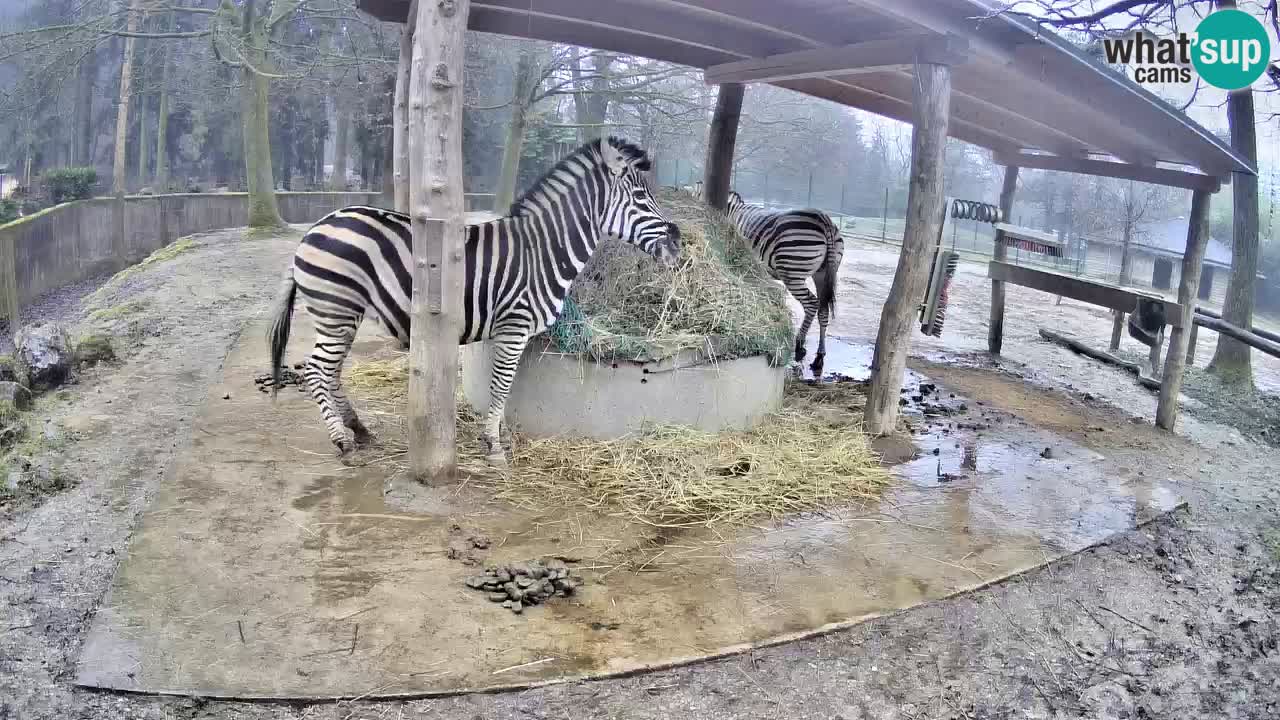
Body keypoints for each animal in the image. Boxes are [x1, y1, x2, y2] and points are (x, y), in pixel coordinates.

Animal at [266, 137, 681, 463]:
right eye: (641, 197)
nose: (678, 242)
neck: (541, 251)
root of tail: (314, 227)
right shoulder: (513, 326)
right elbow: (501, 384)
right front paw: (493, 445)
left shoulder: (511, 332)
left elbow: (507, 387)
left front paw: (501, 435)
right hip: (337, 309)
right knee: (317, 370)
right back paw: (342, 441)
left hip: (341, 315)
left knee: (331, 372)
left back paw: (360, 430)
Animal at [725, 190, 843, 379]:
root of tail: (825, 220)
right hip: (824, 273)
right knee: (823, 310)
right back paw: (819, 357)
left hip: (792, 272)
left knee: (812, 303)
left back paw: (799, 346)